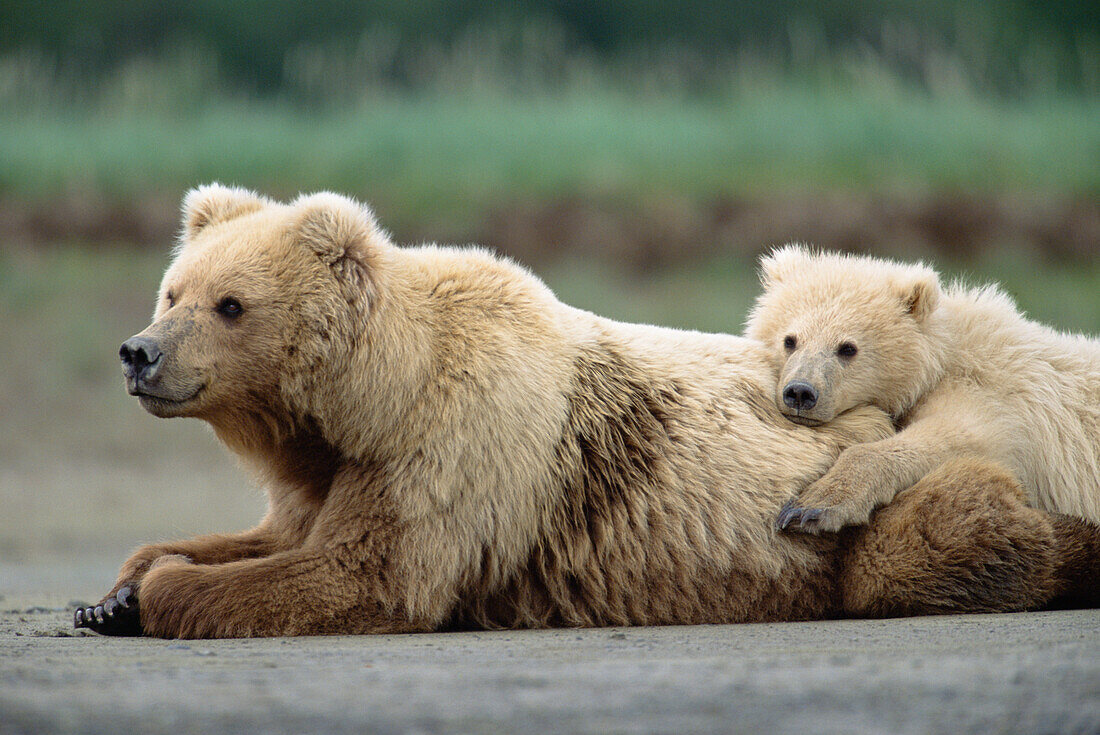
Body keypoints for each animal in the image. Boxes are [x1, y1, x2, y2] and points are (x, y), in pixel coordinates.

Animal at [73, 184, 1095, 638]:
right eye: (173, 290)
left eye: (229, 304)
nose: (138, 352)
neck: (373, 396)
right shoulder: (329, 463)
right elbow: (272, 536)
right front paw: (112, 592)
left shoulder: (455, 444)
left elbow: (364, 573)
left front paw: (161, 593)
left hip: (871, 496)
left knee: (930, 539)